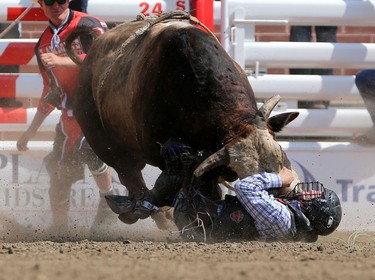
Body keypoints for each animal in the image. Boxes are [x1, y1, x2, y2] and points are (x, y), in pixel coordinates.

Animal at [67, 11, 302, 232]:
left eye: (281, 156)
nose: (289, 192)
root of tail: (89, 58)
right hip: (106, 145)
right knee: (130, 176)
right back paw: (149, 213)